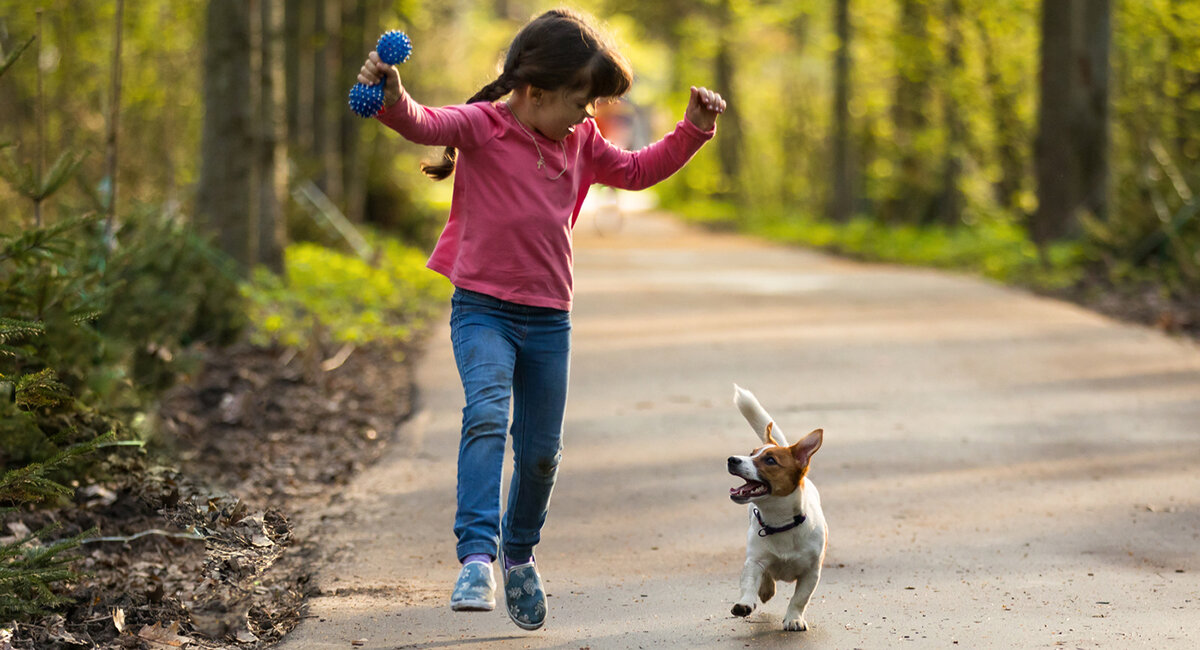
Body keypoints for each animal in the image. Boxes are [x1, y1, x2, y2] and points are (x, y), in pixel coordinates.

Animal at [724, 383, 830, 633]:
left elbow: (800, 598)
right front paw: (745, 603)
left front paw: (794, 618)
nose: (732, 459)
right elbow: (749, 582)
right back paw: (765, 589)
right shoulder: (754, 561)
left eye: (770, 460)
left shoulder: (812, 572)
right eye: (751, 453)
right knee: (766, 576)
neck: (780, 523)